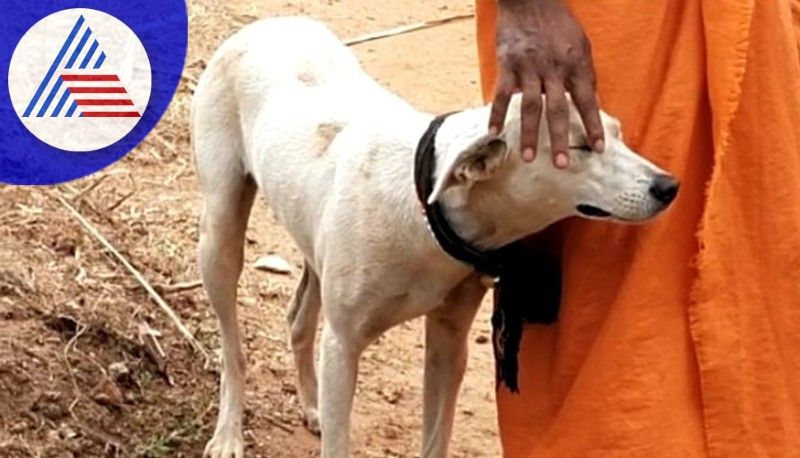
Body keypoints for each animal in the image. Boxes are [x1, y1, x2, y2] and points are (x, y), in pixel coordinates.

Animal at [191, 16, 680, 456]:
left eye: (616, 134)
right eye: (577, 146)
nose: (669, 186)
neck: (426, 210)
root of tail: (264, 25)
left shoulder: (448, 342)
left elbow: (436, 436)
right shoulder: (343, 347)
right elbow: (338, 441)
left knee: (298, 318)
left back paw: (310, 405)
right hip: (220, 237)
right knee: (233, 350)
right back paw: (229, 434)